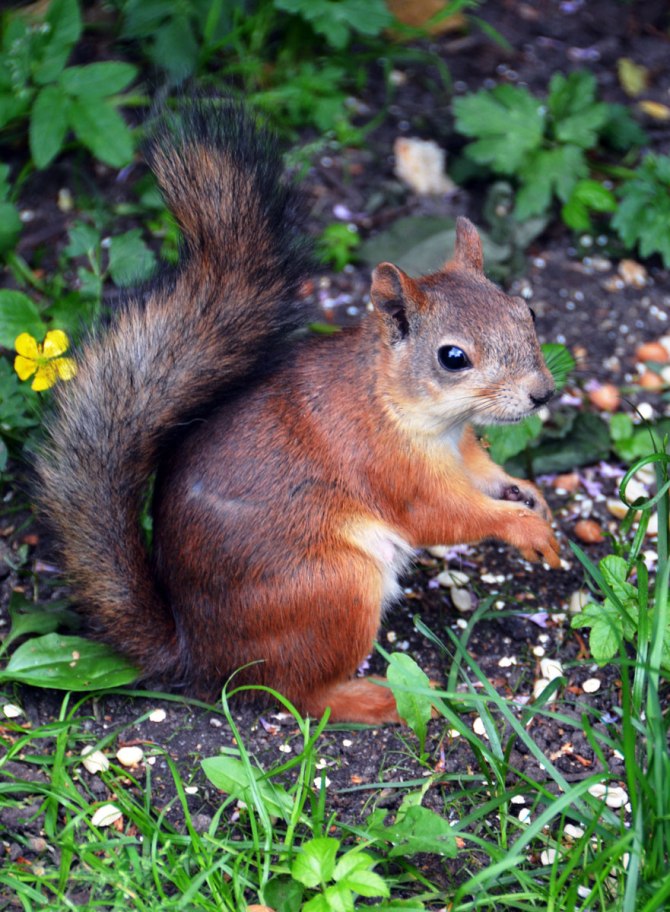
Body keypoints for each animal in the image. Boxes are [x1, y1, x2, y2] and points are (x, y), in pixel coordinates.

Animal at [36, 100, 560, 725]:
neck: (411, 411)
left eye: (526, 310)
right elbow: (444, 516)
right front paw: (521, 526)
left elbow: (486, 476)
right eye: (453, 357)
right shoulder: (388, 468)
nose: (541, 394)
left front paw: (529, 495)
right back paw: (379, 698)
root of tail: (201, 656)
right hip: (334, 585)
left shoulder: (462, 448)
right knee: (298, 693)